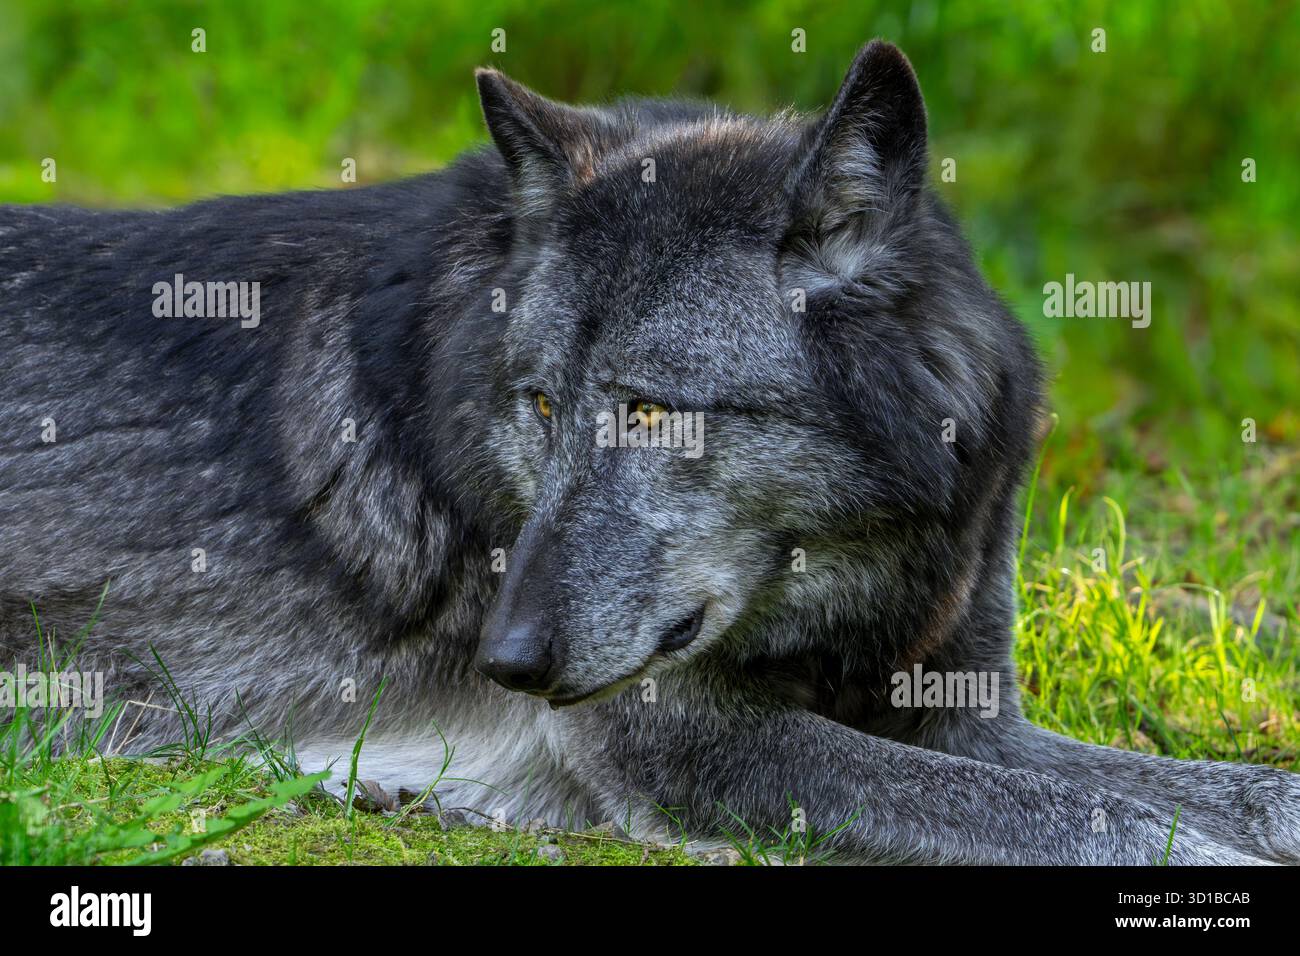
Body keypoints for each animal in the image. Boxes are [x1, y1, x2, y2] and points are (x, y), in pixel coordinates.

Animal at [1, 40, 1296, 864]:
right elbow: (1091, 821)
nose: (505, 659)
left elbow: (1229, 792)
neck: (852, 570)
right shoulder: (692, 744)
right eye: (538, 405)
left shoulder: (963, 714)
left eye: (650, 413)